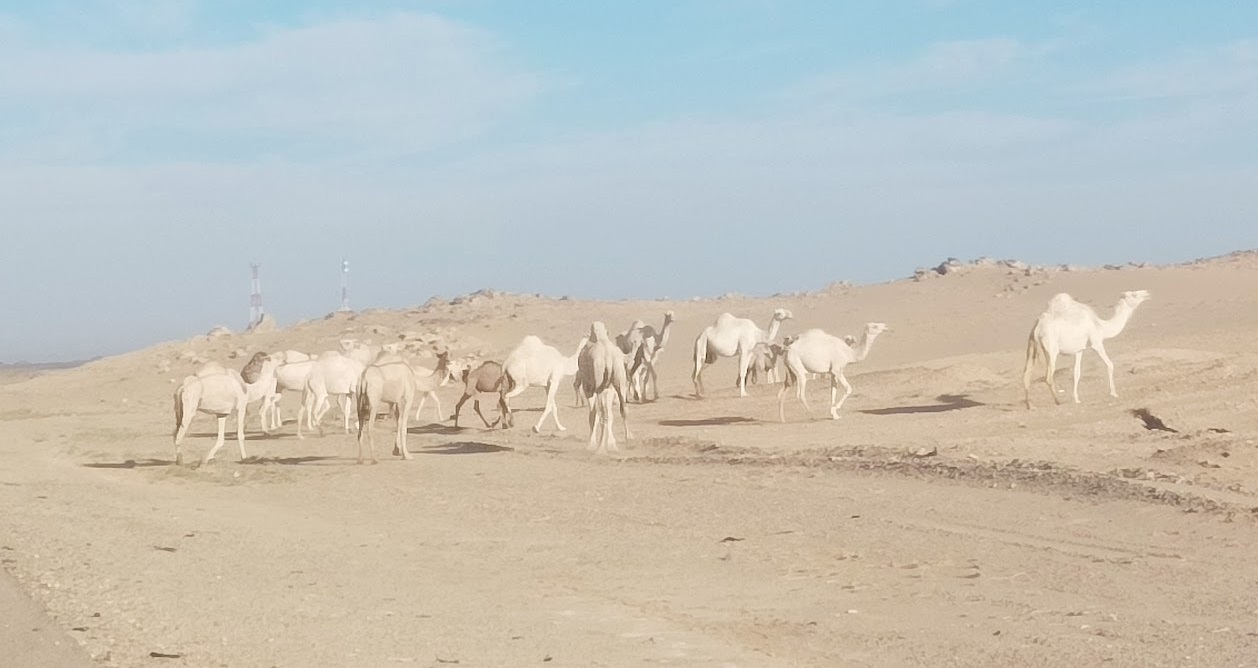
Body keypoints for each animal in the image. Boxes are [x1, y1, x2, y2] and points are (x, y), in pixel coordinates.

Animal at [576, 322, 629, 455]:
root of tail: (608, 357)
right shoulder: (609, 388)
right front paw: (611, 444)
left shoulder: (588, 388)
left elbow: (592, 415)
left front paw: (590, 445)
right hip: (619, 379)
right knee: (623, 409)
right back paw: (628, 442)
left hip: (599, 383)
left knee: (602, 414)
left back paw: (600, 449)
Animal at [1021, 289, 1152, 407]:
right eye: (1134, 294)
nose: (1147, 293)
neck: (1100, 326)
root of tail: (1038, 328)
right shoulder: (1096, 343)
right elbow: (1110, 364)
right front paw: (1114, 393)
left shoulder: (1079, 350)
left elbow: (1076, 373)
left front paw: (1076, 399)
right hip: (1051, 349)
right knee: (1048, 377)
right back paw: (1058, 401)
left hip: (1031, 346)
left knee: (1026, 375)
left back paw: (1030, 405)